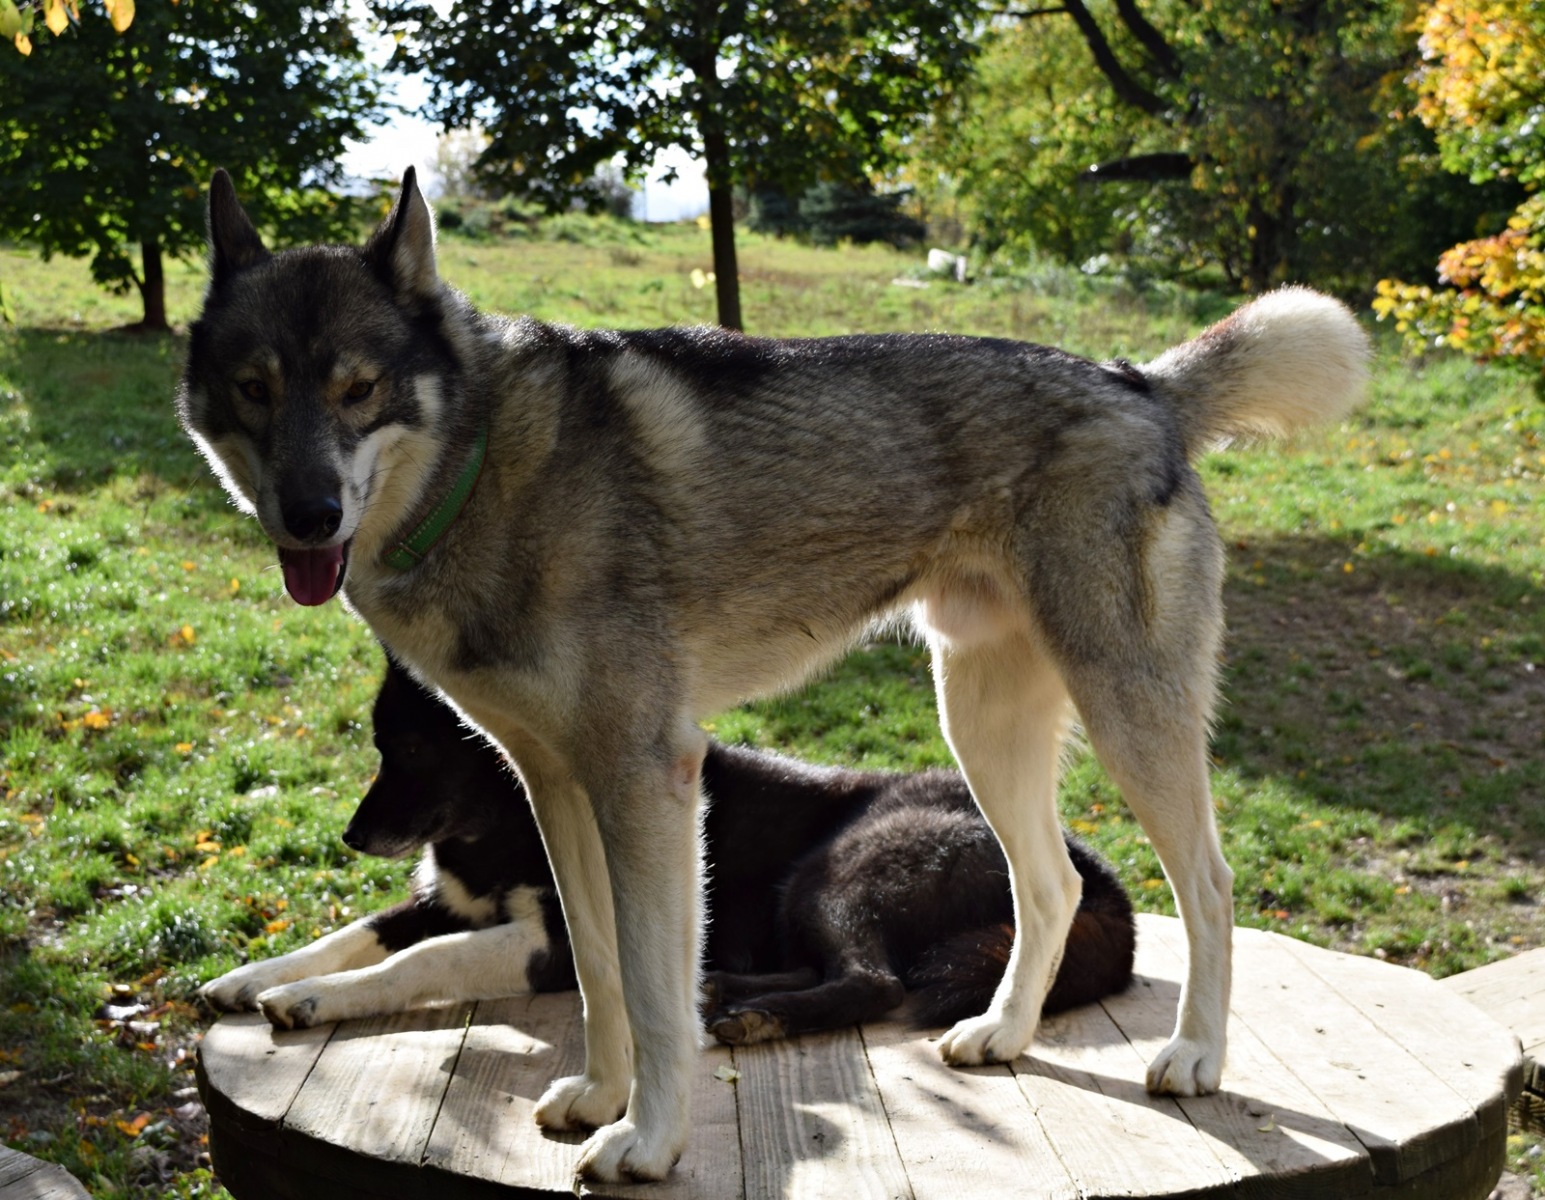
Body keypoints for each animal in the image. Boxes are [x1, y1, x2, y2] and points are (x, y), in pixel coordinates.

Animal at [202, 661, 1137, 1044]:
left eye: (411, 752)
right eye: (377, 746)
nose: (351, 837)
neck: (497, 821)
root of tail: (1096, 871)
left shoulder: (551, 942)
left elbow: (417, 962)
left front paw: (312, 1001)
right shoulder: (446, 899)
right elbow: (354, 932)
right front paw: (251, 977)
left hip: (843, 869)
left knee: (876, 982)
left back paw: (760, 1018)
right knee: (839, 969)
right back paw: (723, 988)